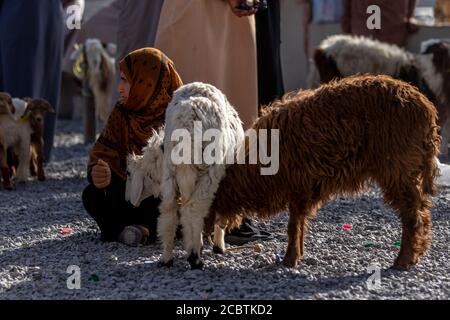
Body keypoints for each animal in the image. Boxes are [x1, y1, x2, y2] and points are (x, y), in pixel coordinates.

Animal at [211, 75, 440, 270]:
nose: (214, 250)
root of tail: (425, 107)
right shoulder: (304, 187)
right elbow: (299, 222)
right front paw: (298, 255)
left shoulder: (299, 184)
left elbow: (294, 224)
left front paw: (290, 259)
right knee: (421, 213)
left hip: (398, 169)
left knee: (413, 217)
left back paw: (403, 260)